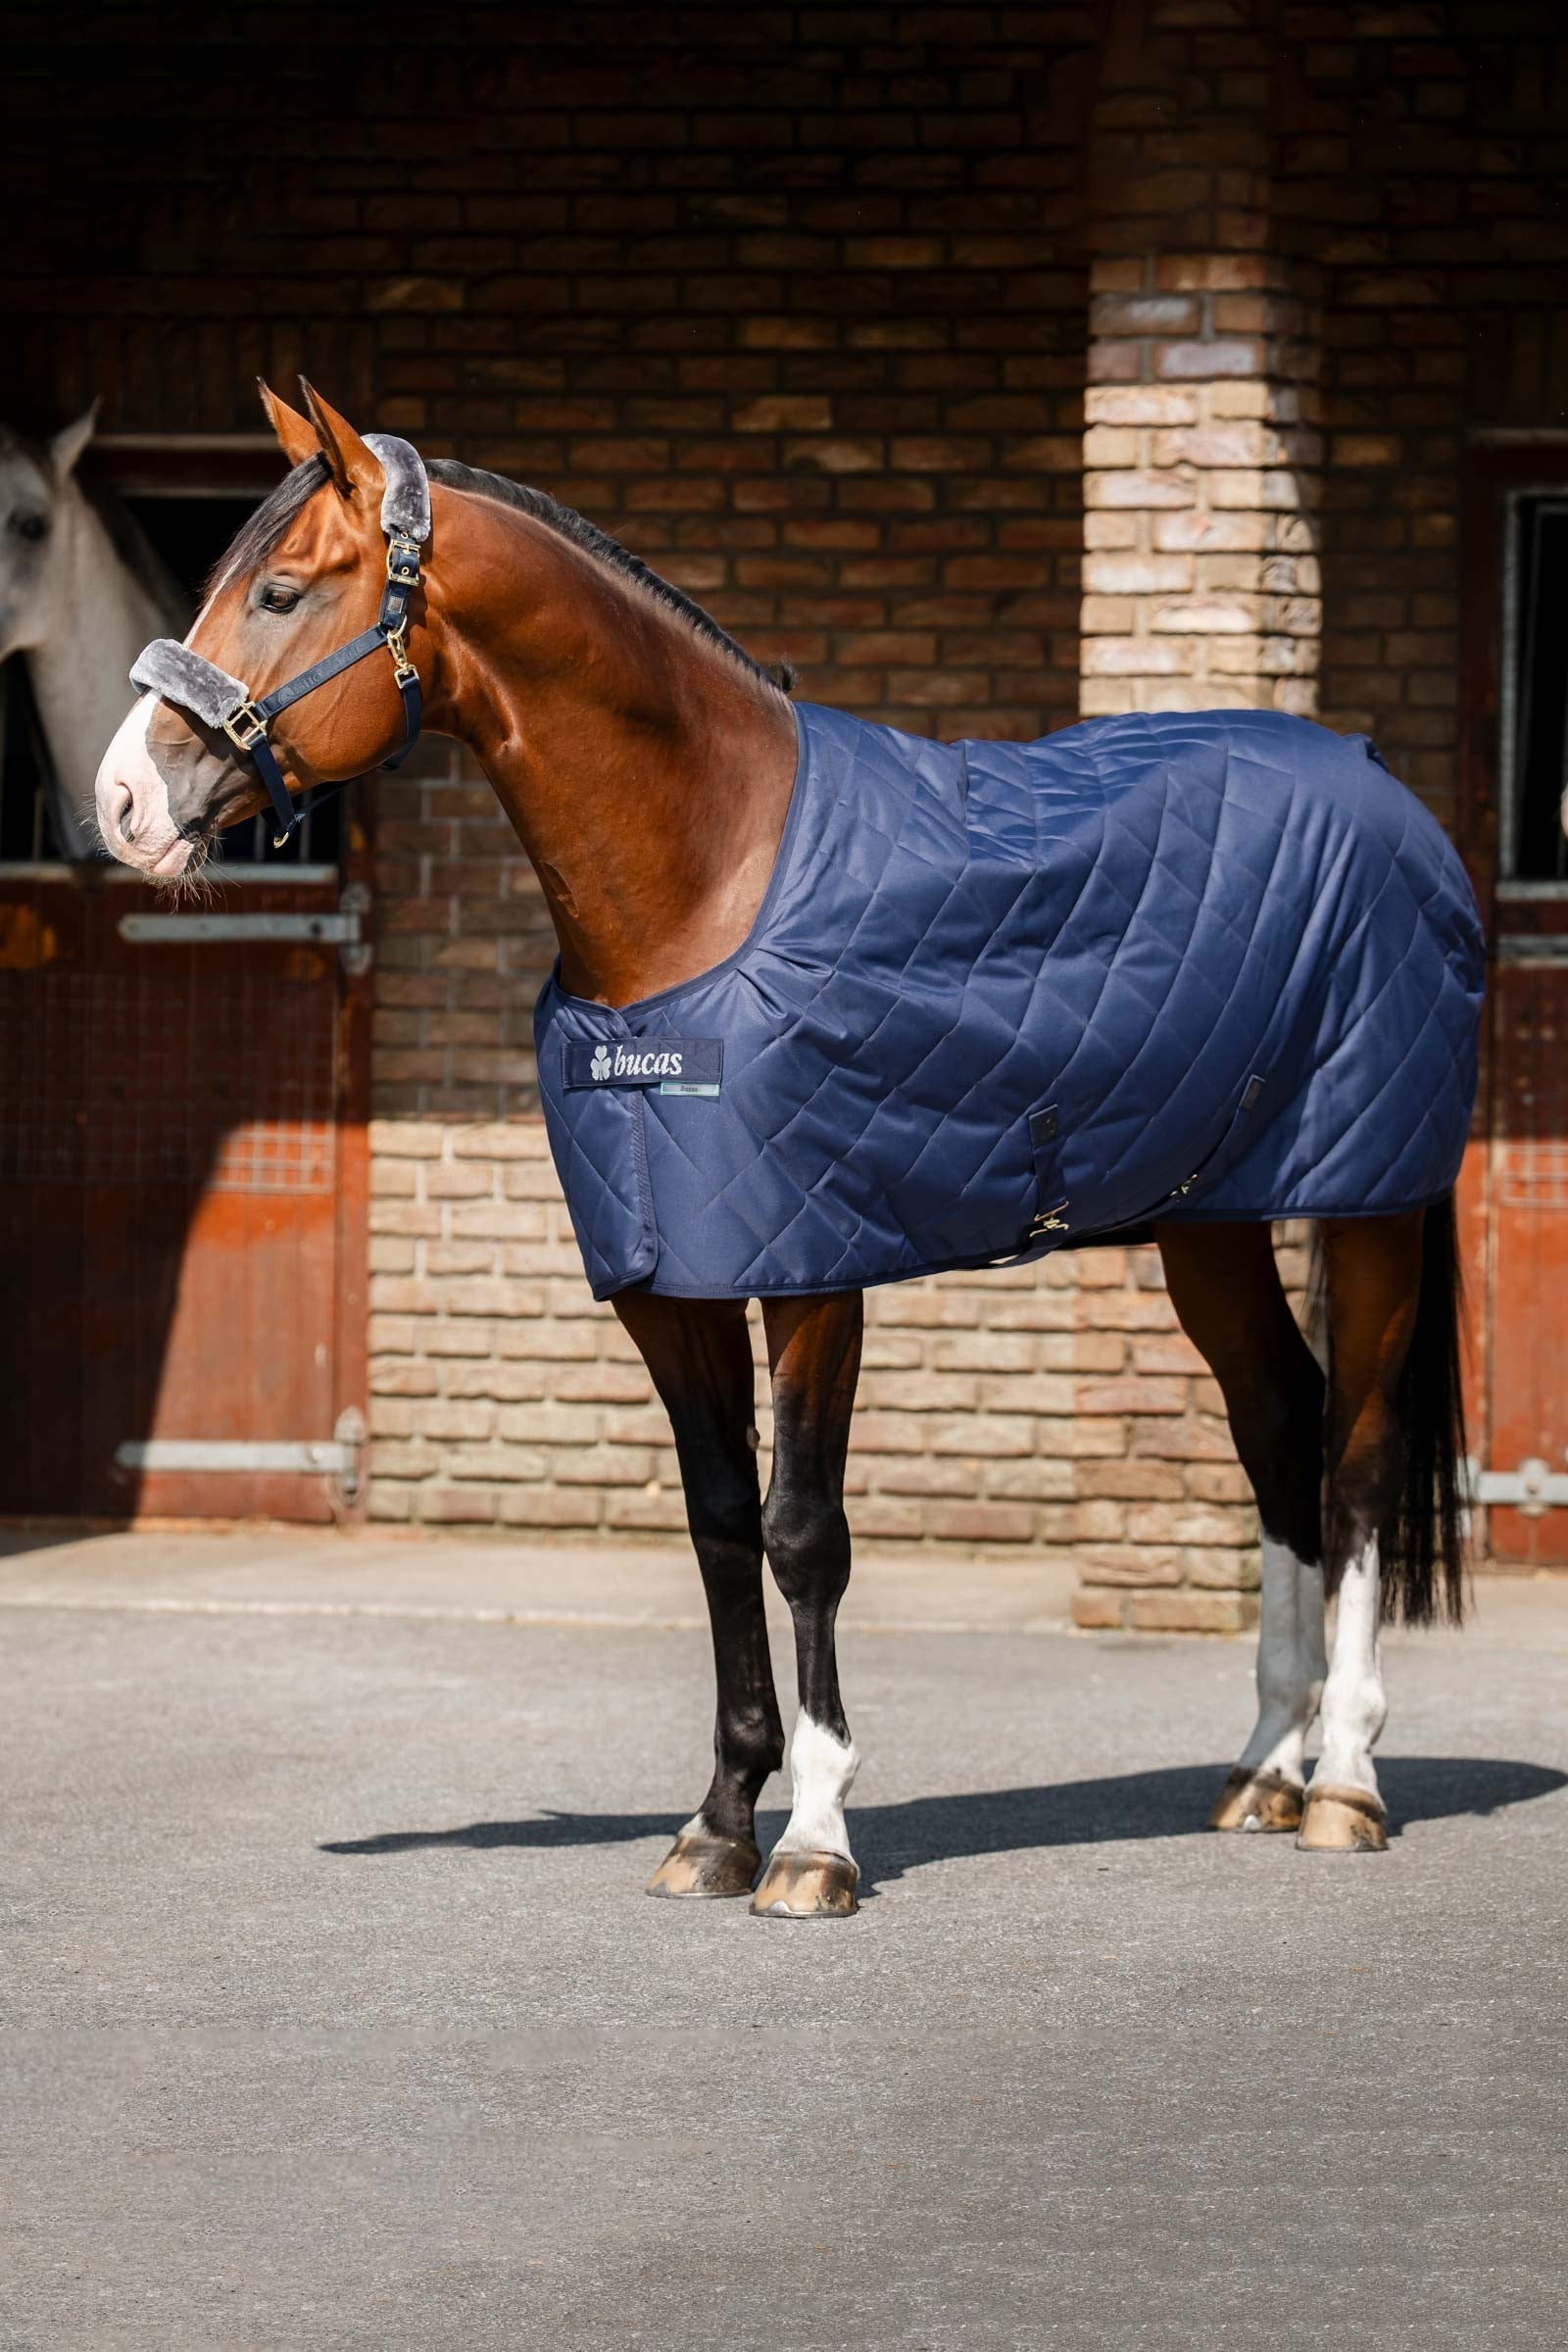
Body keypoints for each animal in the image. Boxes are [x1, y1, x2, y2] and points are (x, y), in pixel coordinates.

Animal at [93, 382, 1482, 1919]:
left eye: (279, 591)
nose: (121, 805)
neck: (711, 880)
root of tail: (1384, 789)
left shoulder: (816, 1269)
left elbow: (803, 1530)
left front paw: (815, 1839)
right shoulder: (668, 1280)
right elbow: (717, 1526)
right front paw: (716, 1821)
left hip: (1370, 1201)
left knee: (1355, 1459)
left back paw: (1343, 1780)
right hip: (1213, 1220)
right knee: (1279, 1430)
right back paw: (1262, 1767)